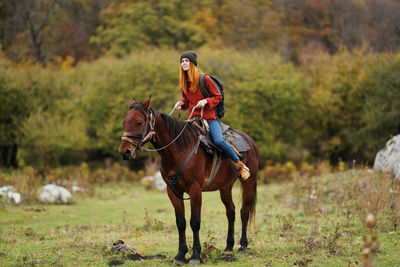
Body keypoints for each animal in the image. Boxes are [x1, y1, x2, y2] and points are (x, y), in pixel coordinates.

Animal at [118, 97, 260, 264]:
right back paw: (228, 246)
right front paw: (180, 255)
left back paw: (242, 245)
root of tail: (250, 141)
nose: (125, 152)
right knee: (230, 212)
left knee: (244, 211)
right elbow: (181, 222)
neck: (178, 150)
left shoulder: (195, 190)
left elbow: (195, 222)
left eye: (139, 122)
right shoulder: (173, 191)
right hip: (225, 187)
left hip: (248, 183)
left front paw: (195, 255)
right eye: (124, 122)